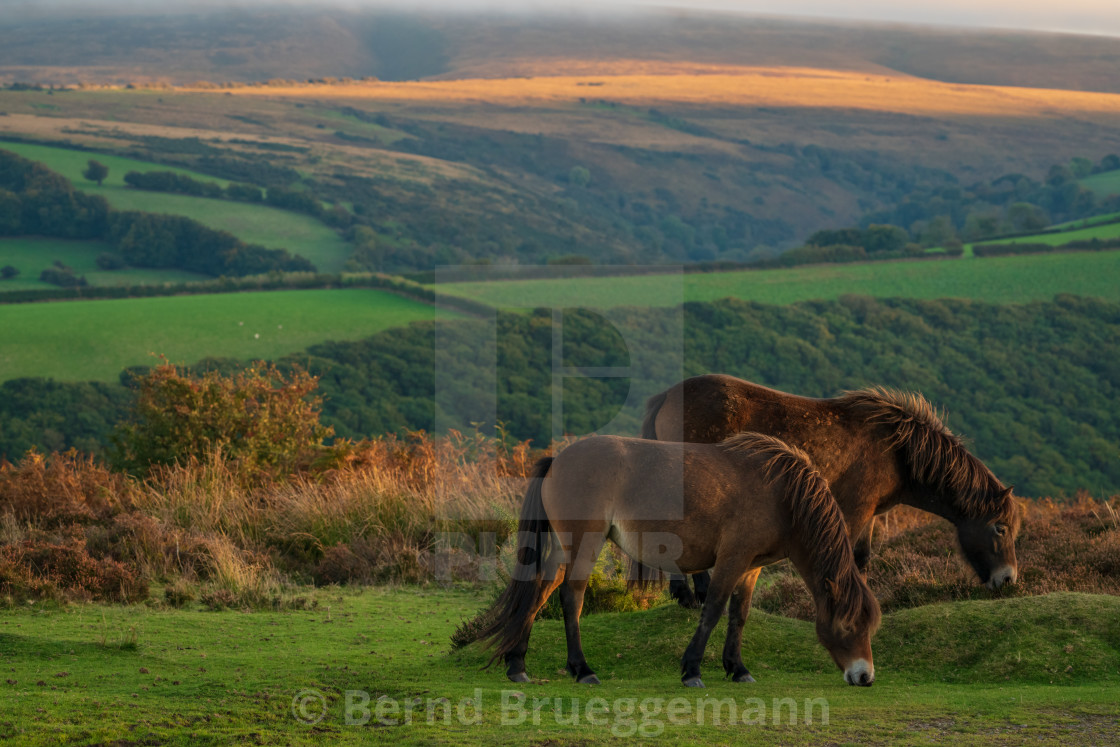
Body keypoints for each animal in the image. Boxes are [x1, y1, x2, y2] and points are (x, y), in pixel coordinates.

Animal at [477, 432, 878, 689]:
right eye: (847, 626)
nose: (865, 677)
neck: (781, 492)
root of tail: (556, 460)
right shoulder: (732, 559)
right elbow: (713, 610)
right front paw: (692, 670)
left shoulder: (752, 566)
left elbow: (739, 614)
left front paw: (737, 668)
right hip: (584, 545)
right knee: (570, 598)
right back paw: (582, 669)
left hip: (564, 549)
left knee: (539, 592)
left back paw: (517, 665)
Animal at [645, 374, 1021, 609]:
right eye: (1000, 528)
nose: (1007, 580)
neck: (897, 450)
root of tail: (665, 396)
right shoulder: (853, 510)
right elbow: (843, 556)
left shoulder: (870, 514)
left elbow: (862, 557)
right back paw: (693, 595)